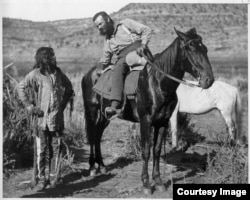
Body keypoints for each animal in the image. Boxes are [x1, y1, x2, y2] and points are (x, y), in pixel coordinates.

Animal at [81, 27, 214, 194]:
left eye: (205, 49)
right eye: (191, 48)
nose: (209, 80)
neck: (158, 83)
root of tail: (89, 74)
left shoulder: (163, 122)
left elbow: (156, 151)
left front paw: (158, 181)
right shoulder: (146, 121)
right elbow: (146, 151)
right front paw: (145, 184)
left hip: (105, 116)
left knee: (97, 136)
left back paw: (102, 166)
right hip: (92, 112)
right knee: (93, 136)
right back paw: (93, 168)